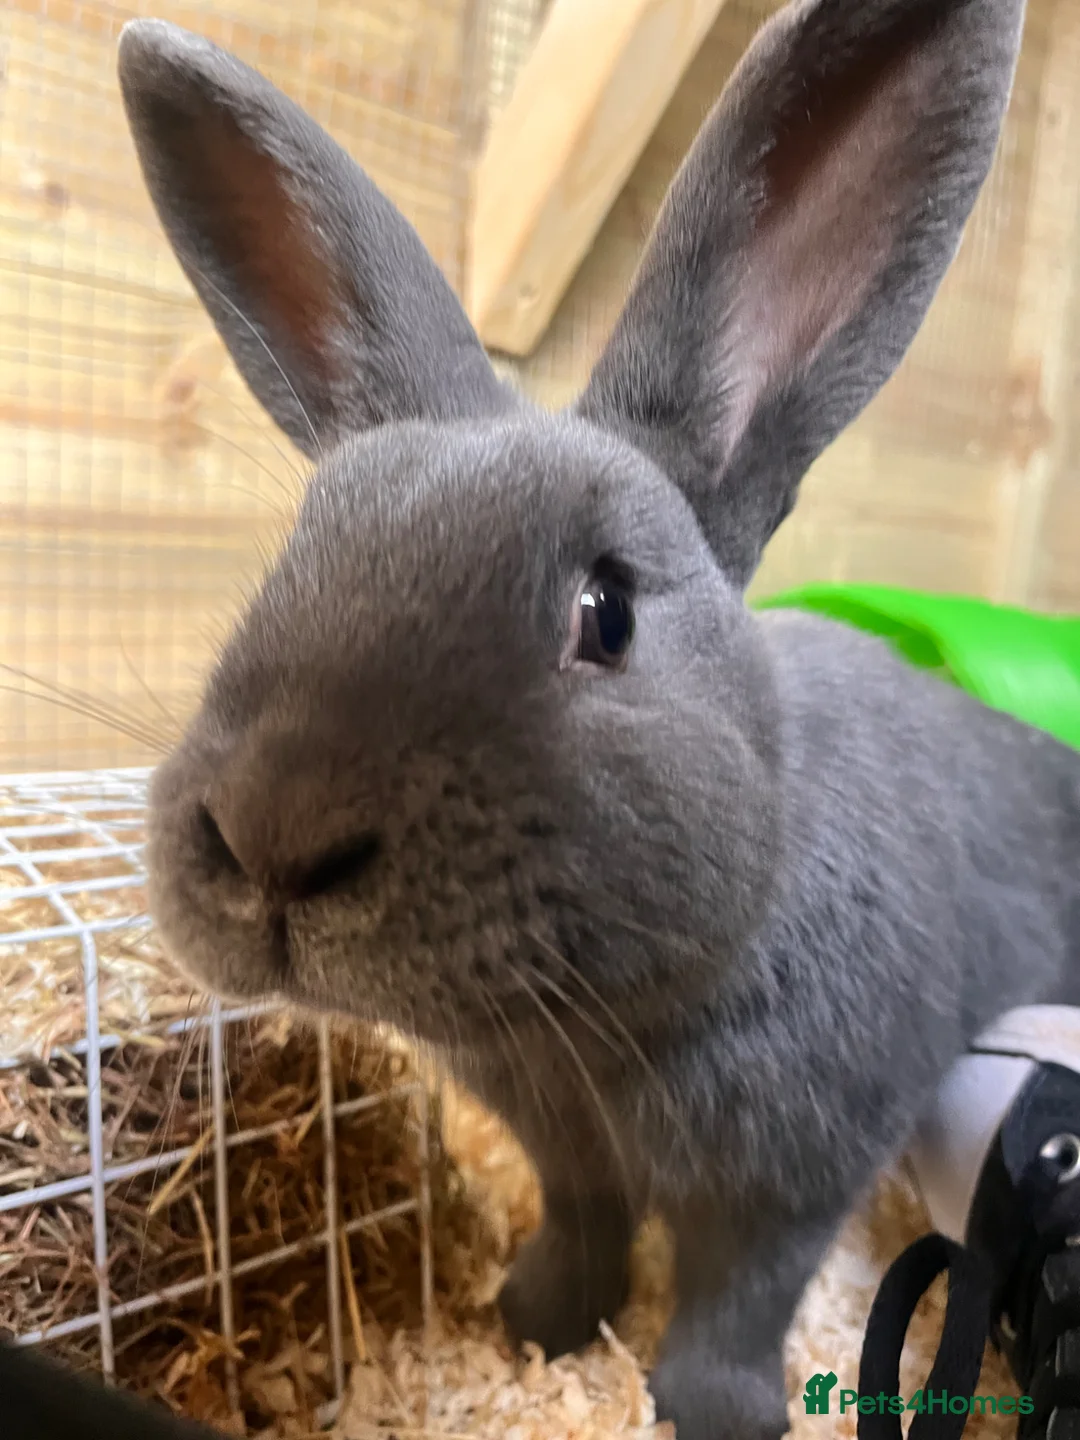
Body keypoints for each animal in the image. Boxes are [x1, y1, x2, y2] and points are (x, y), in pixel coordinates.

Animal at [118, 0, 1080, 1435]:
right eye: (296, 560)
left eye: (607, 613)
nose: (272, 839)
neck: (590, 1019)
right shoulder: (567, 1155)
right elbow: (585, 1230)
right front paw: (531, 1324)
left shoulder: (799, 1169)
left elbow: (742, 1291)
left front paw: (714, 1408)